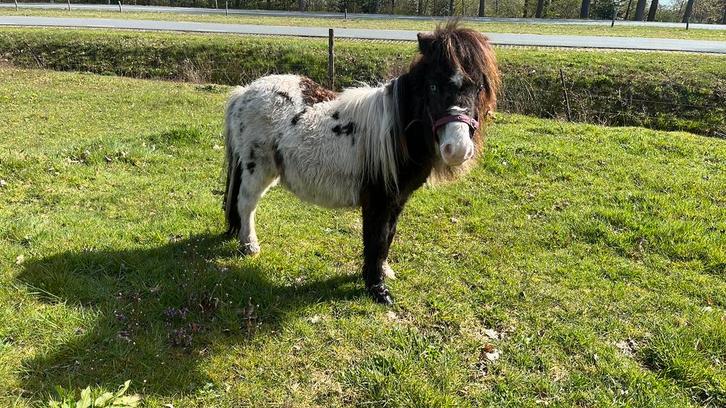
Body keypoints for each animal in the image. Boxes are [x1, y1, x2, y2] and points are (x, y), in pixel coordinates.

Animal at [223, 22, 499, 305]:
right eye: (432, 86)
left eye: (478, 88)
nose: (457, 149)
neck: (395, 131)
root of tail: (244, 92)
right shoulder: (378, 199)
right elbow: (375, 238)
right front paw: (377, 288)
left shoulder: (398, 198)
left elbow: (388, 234)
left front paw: (384, 271)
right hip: (257, 169)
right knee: (245, 204)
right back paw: (250, 245)